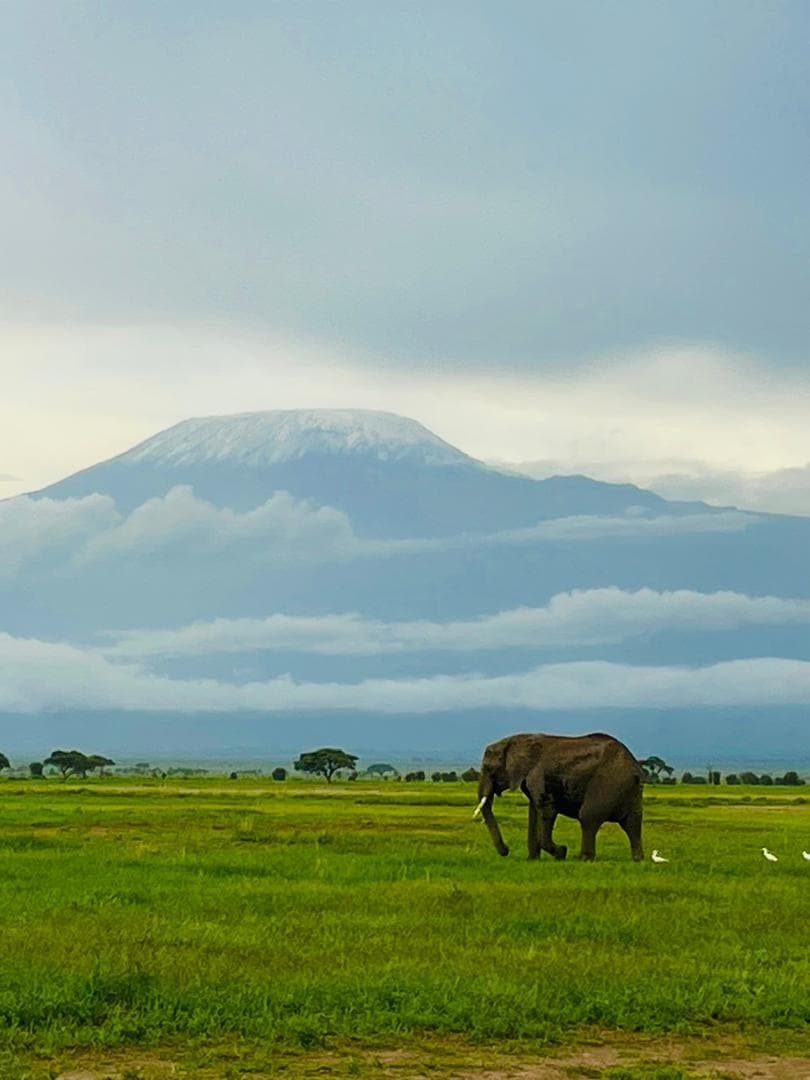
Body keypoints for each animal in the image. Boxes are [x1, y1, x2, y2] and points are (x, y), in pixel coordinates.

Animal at [474, 732, 644, 862]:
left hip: (608, 782)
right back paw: (638, 859)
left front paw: (561, 853)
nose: (506, 851)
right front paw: (532, 860)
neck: (519, 740)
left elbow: (546, 809)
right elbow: (533, 812)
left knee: (588, 816)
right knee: (632, 822)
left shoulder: (539, 775)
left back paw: (583, 859)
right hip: (629, 789)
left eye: (489, 768)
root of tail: (634, 767)